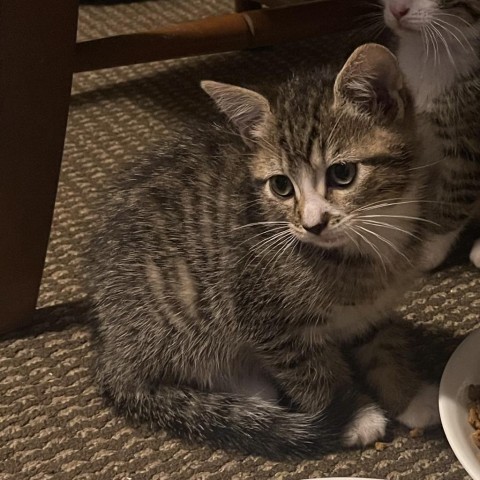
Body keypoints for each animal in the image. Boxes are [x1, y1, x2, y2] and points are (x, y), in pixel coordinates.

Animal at [88, 46, 440, 462]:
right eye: (281, 186)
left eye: (342, 174)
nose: (312, 224)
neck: (369, 242)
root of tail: (112, 353)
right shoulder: (262, 316)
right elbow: (310, 372)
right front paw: (354, 415)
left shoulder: (374, 308)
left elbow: (382, 348)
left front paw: (408, 396)